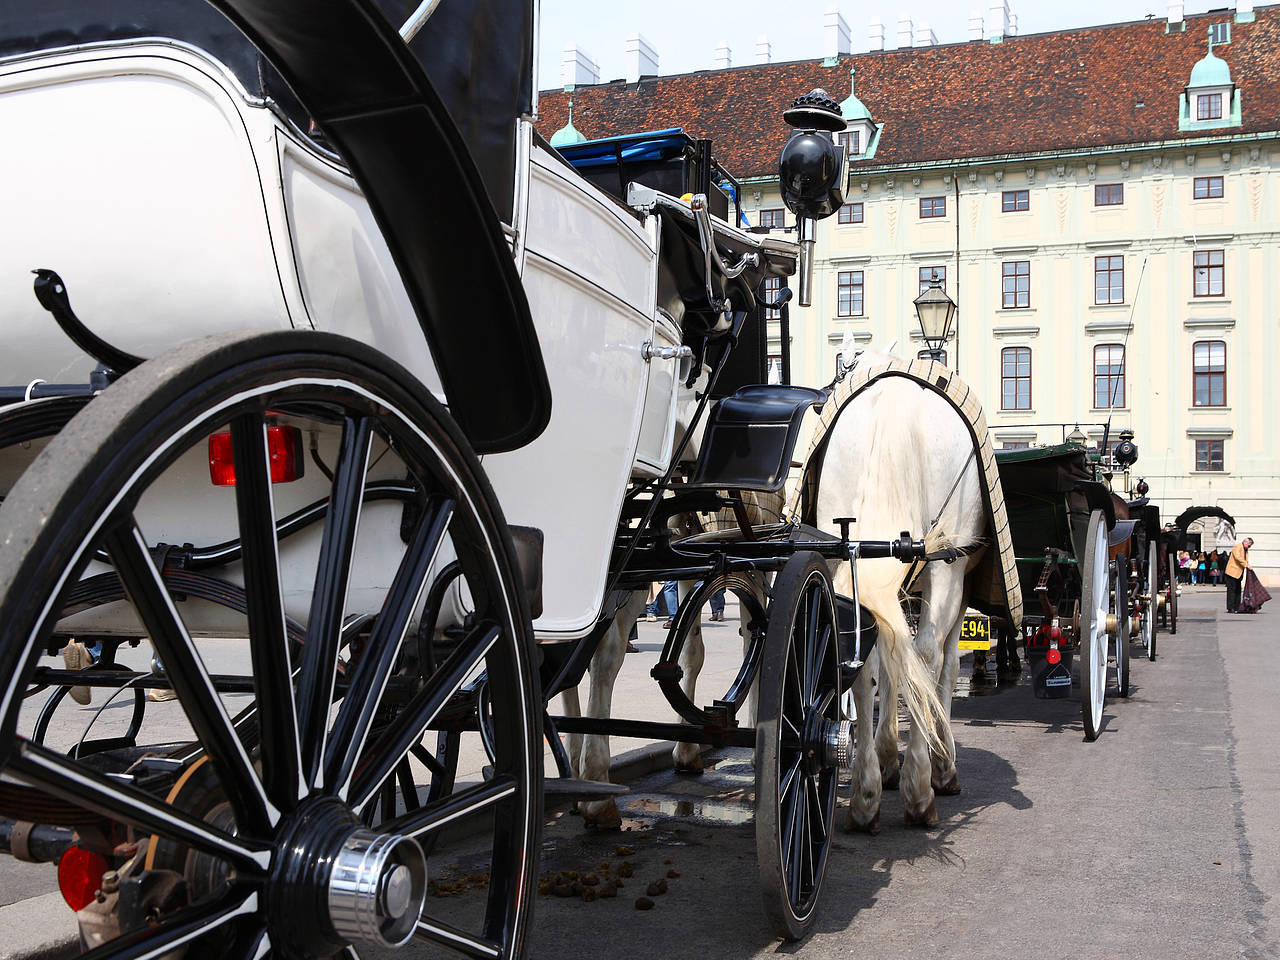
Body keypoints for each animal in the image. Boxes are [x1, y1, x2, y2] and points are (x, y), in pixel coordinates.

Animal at [814, 363, 983, 829]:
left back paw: (865, 795)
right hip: (947, 568)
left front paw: (888, 756)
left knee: (863, 657)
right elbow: (943, 669)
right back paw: (921, 790)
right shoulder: (957, 584)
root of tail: (895, 395)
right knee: (927, 654)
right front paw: (943, 764)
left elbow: (889, 667)